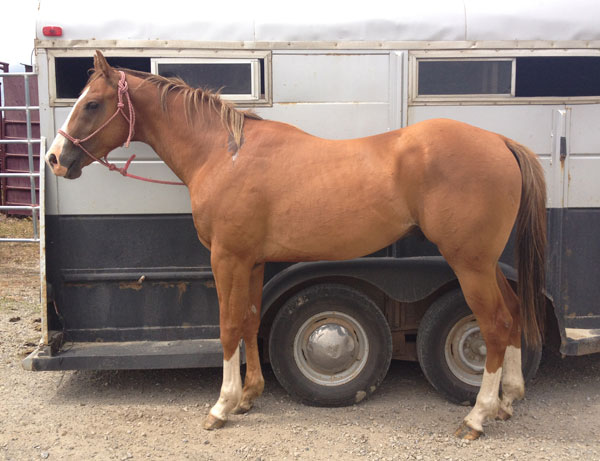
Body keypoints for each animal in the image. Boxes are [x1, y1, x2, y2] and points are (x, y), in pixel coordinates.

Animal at [44, 50, 548, 438]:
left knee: (496, 325)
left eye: (91, 104)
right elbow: (249, 321)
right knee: (514, 314)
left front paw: (221, 406)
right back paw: (508, 400)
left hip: (469, 264)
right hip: (484, 264)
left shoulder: (226, 258)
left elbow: (228, 326)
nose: (55, 159)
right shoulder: (251, 262)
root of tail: (500, 141)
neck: (225, 154)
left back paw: (478, 416)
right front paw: (249, 395)